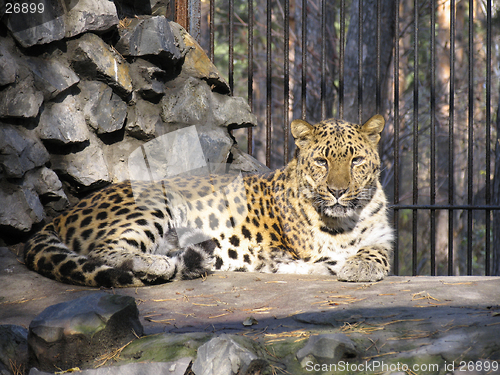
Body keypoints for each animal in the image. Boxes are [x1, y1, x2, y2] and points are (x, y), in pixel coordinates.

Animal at [24, 114, 394, 288]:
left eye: (356, 161)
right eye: (321, 162)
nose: (337, 191)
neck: (351, 217)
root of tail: (59, 217)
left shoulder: (382, 237)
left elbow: (378, 253)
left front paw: (361, 265)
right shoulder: (300, 249)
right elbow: (327, 258)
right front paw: (341, 266)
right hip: (153, 203)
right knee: (106, 250)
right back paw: (157, 265)